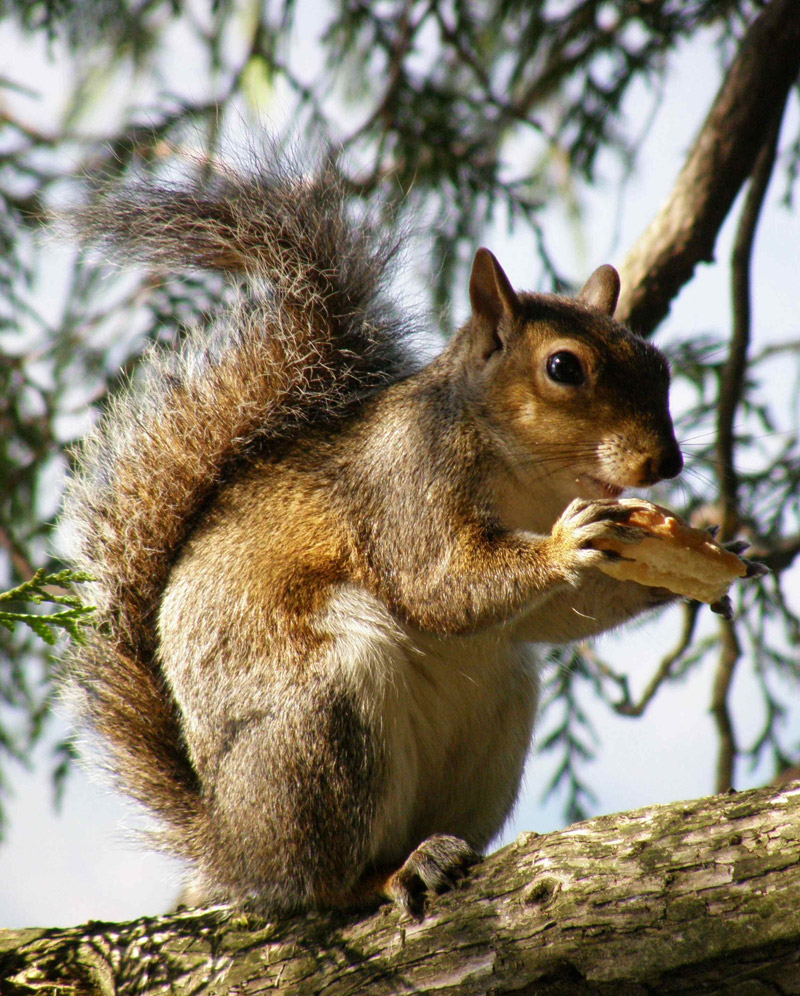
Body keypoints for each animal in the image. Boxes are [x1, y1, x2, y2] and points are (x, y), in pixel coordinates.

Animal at [63, 151, 684, 918]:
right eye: (563, 367)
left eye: (659, 363)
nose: (666, 462)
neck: (531, 478)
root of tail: (229, 843)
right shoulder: (407, 486)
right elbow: (440, 582)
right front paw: (565, 548)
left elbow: (561, 615)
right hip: (324, 725)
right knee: (323, 881)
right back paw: (387, 874)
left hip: (496, 718)